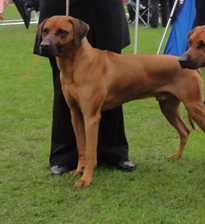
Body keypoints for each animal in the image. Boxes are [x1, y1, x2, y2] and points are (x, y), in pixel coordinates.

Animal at [36, 16, 205, 187]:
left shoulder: (91, 117)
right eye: (45, 31)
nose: (44, 46)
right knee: (185, 130)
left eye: (62, 32)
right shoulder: (76, 114)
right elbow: (81, 148)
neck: (76, 64)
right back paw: (178, 155)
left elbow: (90, 152)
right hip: (168, 108)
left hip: (194, 106)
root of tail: (184, 61)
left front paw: (86, 179)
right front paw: (79, 170)